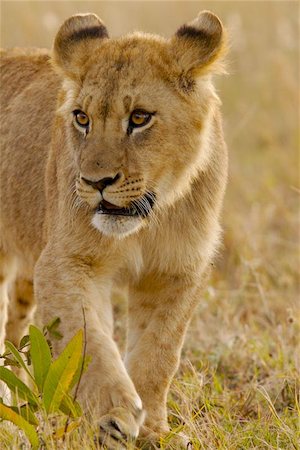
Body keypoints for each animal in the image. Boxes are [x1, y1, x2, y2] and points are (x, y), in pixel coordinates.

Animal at [0, 12, 227, 448]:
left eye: (139, 118)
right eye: (81, 118)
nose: (95, 182)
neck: (147, 223)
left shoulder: (178, 271)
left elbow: (159, 353)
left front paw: (154, 431)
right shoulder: (66, 262)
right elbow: (88, 341)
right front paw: (114, 416)